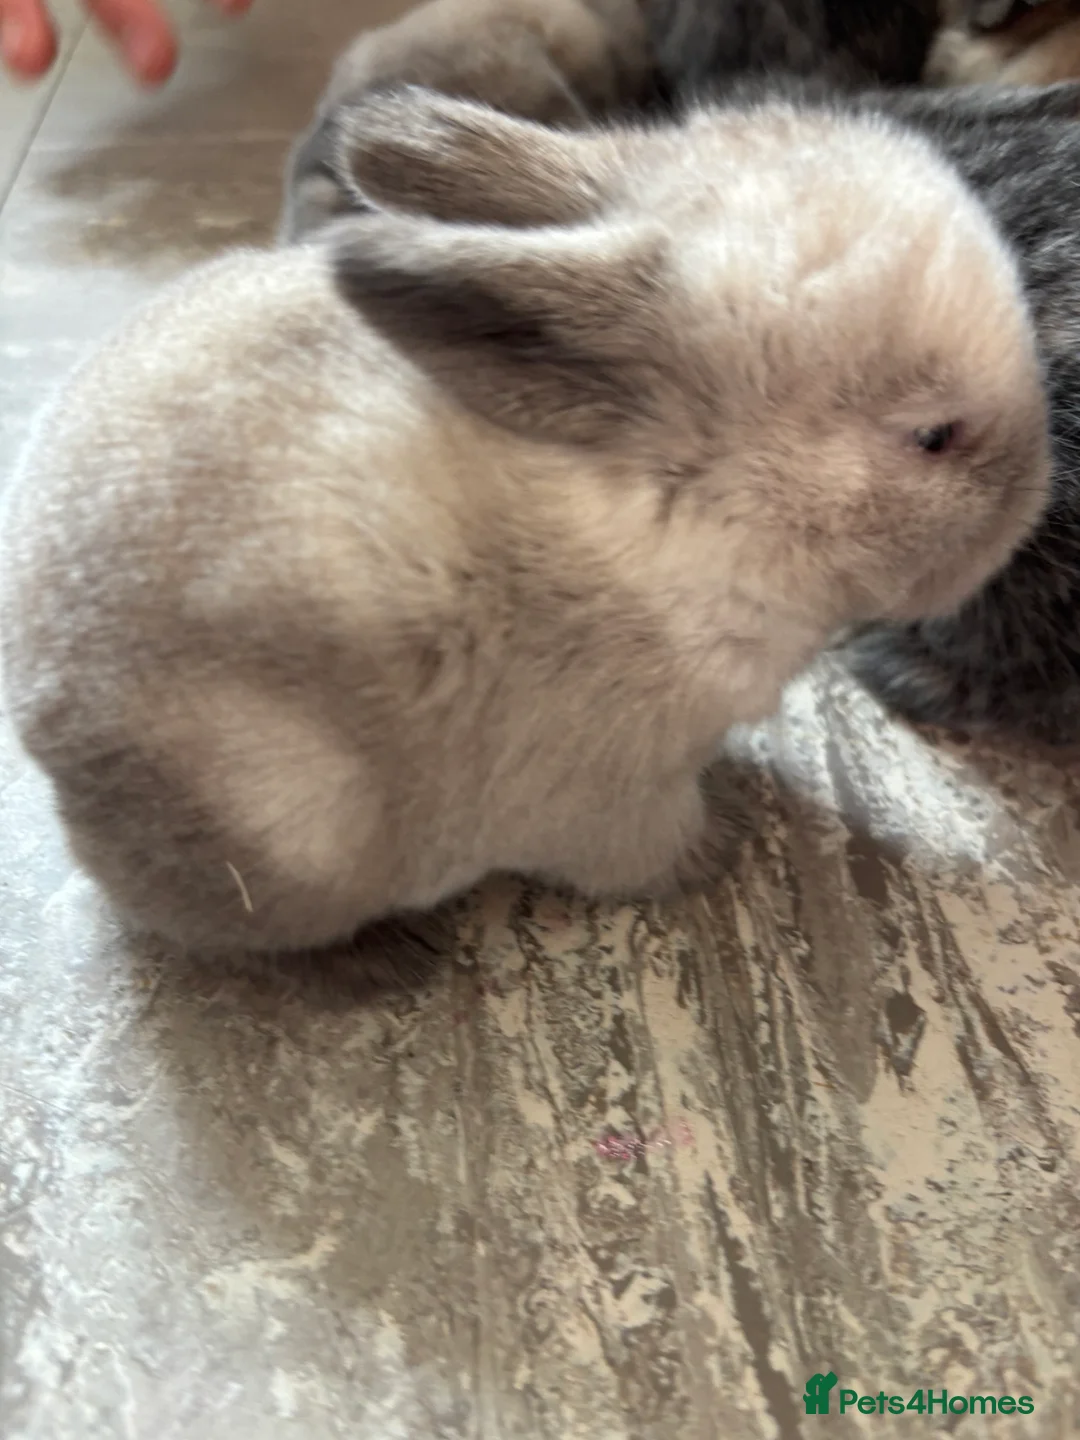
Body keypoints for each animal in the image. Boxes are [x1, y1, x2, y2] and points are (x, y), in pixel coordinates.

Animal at [0, 88, 1050, 955]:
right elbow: (653, 849)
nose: (1037, 499)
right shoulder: (614, 795)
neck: (679, 513)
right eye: (933, 437)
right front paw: (727, 845)